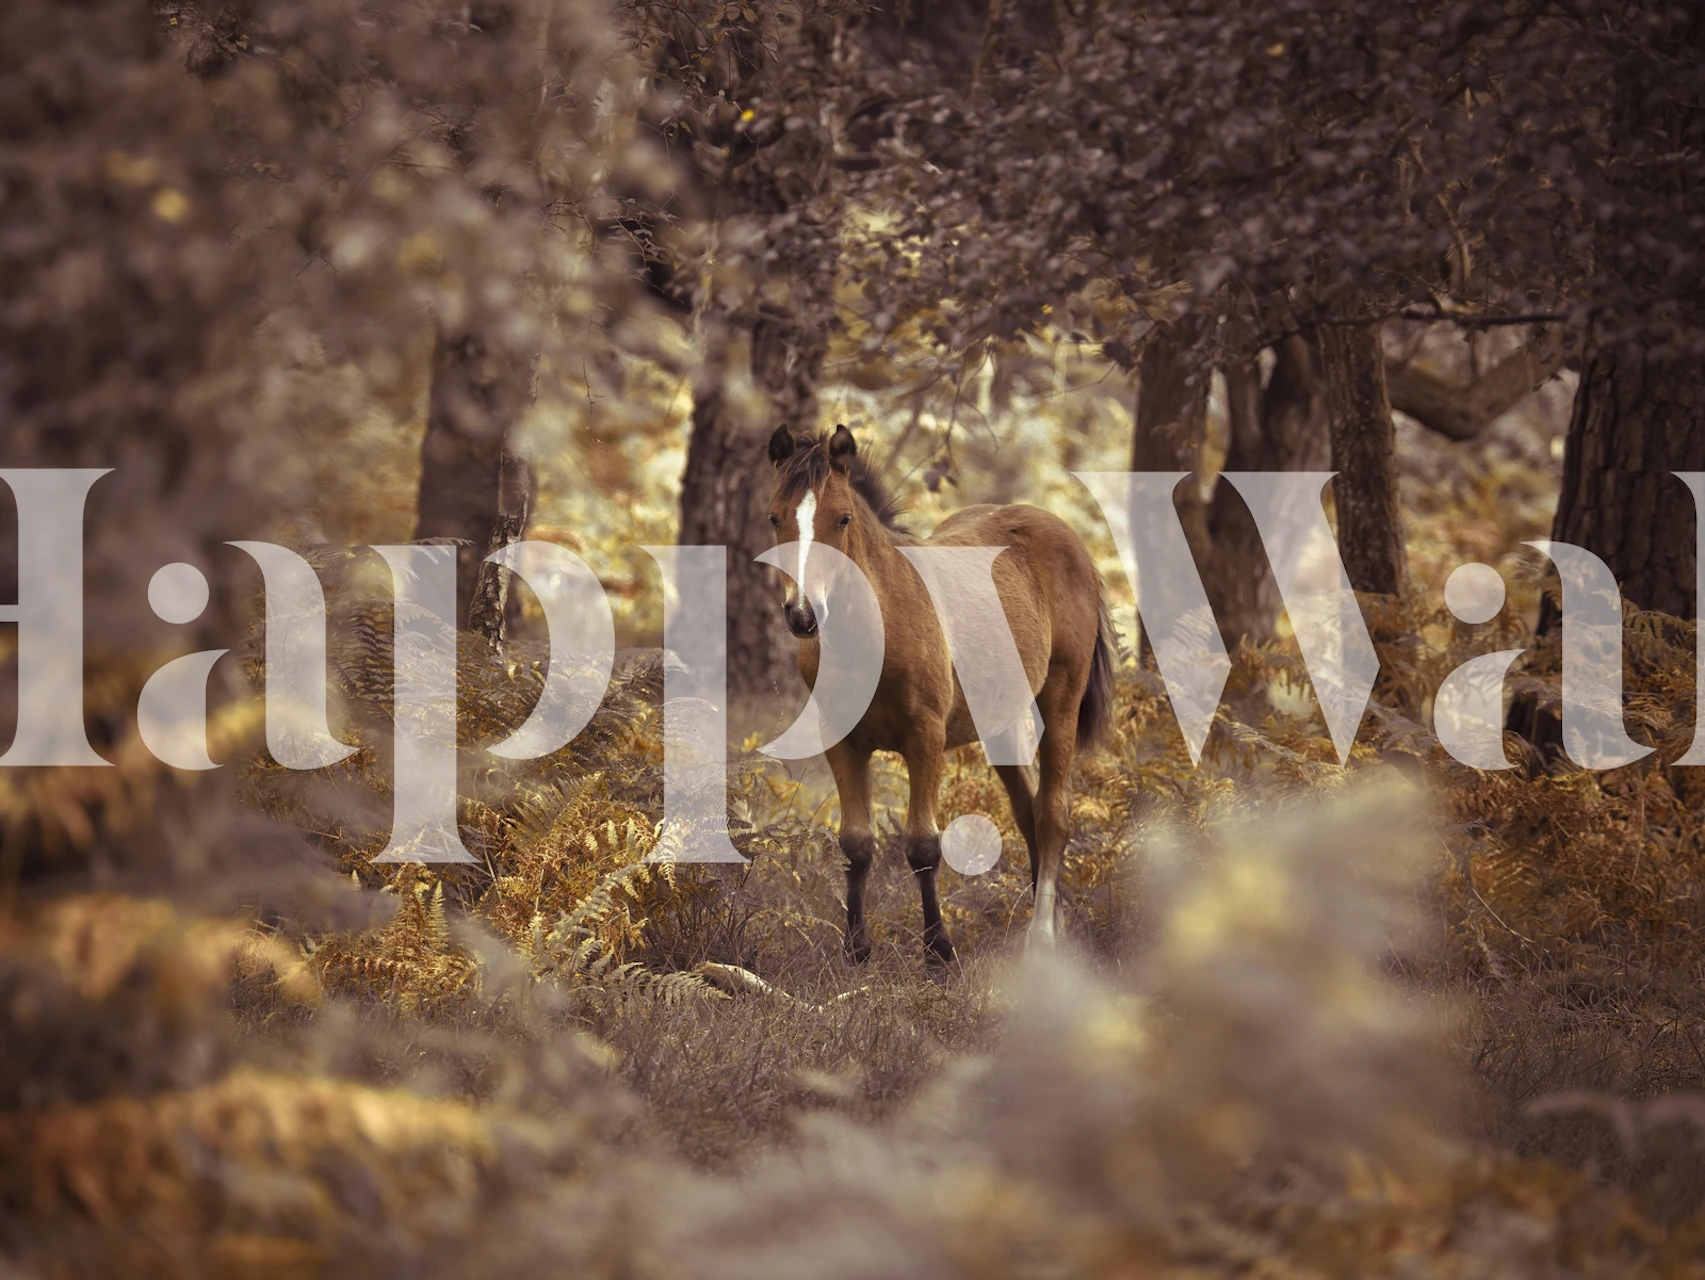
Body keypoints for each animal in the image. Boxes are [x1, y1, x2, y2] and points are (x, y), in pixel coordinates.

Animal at [765, 423, 1116, 968]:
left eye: (842, 518)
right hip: (999, 723)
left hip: (1061, 698)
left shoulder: (925, 738)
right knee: (1028, 811)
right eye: (775, 517)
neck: (878, 626)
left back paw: (1042, 937)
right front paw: (857, 949)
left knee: (1053, 813)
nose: (803, 614)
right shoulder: (842, 743)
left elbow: (923, 847)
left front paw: (938, 951)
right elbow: (855, 843)